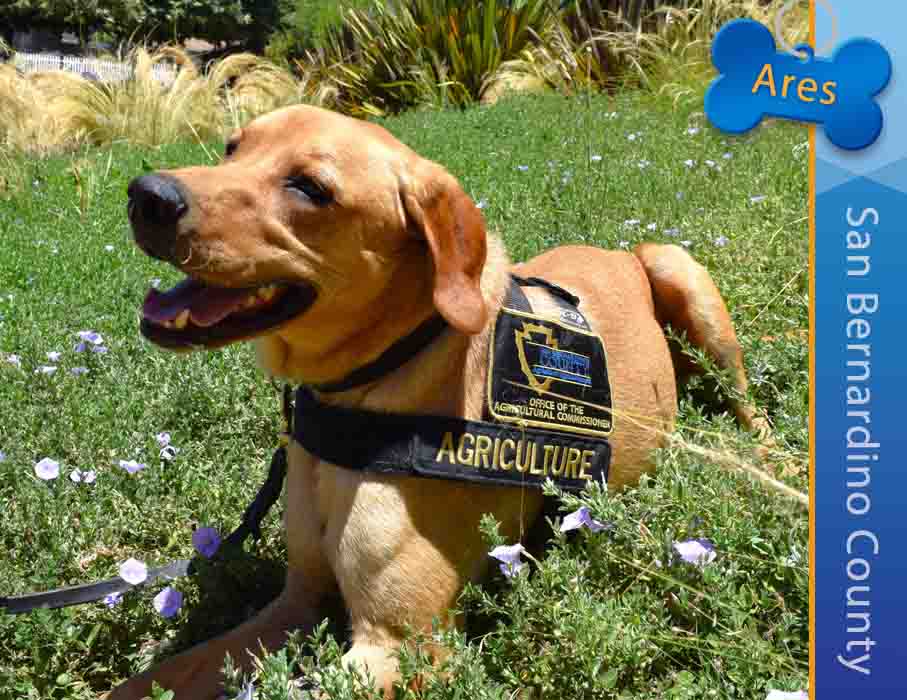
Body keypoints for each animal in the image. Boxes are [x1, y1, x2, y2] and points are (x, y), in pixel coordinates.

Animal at [111, 105, 768, 700]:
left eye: (311, 188)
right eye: (231, 147)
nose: (147, 195)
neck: (373, 379)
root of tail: (616, 250)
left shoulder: (403, 642)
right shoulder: (296, 599)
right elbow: (149, 680)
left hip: (679, 271)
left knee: (749, 406)